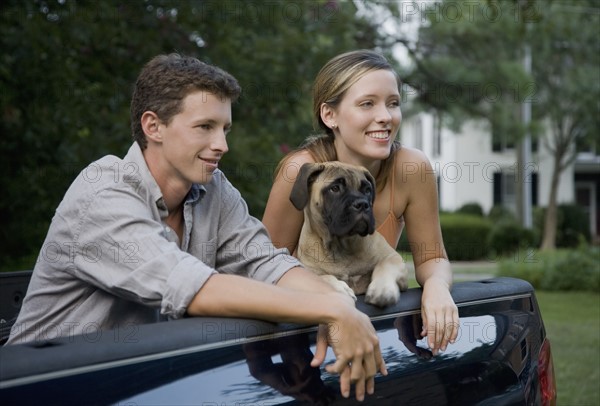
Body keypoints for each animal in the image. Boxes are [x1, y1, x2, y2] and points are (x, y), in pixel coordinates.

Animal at [290, 162, 408, 308]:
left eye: (367, 190)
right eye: (335, 188)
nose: (362, 204)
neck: (340, 245)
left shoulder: (393, 257)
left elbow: (385, 265)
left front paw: (382, 288)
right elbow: (322, 277)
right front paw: (340, 287)